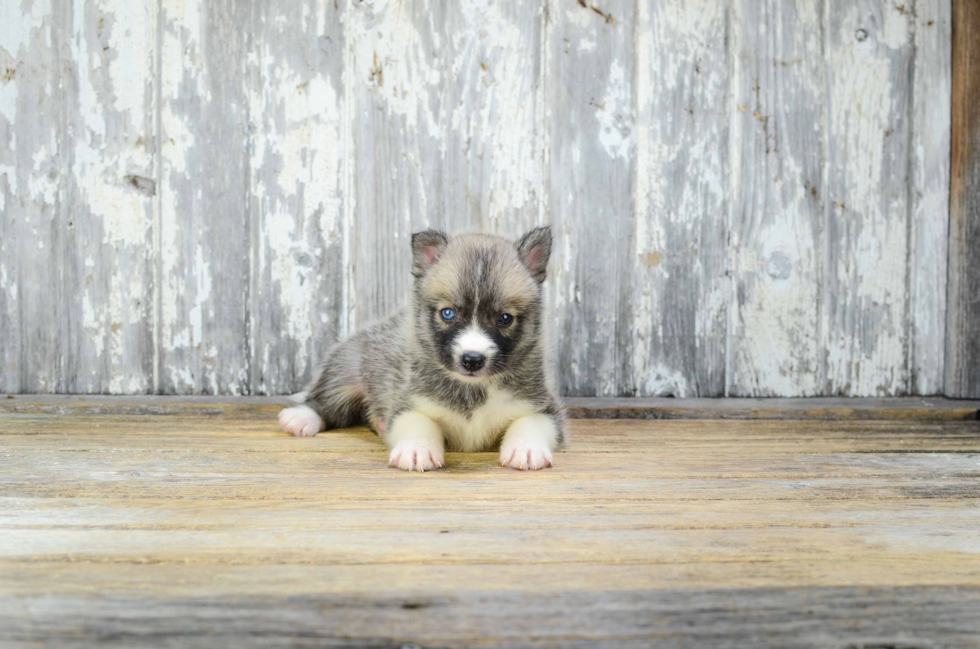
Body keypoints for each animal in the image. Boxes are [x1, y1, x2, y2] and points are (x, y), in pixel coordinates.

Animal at [276, 227, 568, 470]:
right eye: (448, 313)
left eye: (505, 318)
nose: (472, 360)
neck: (472, 390)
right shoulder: (408, 403)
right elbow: (418, 423)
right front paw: (417, 450)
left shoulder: (544, 407)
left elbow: (531, 422)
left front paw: (526, 448)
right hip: (346, 371)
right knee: (324, 401)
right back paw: (302, 418)